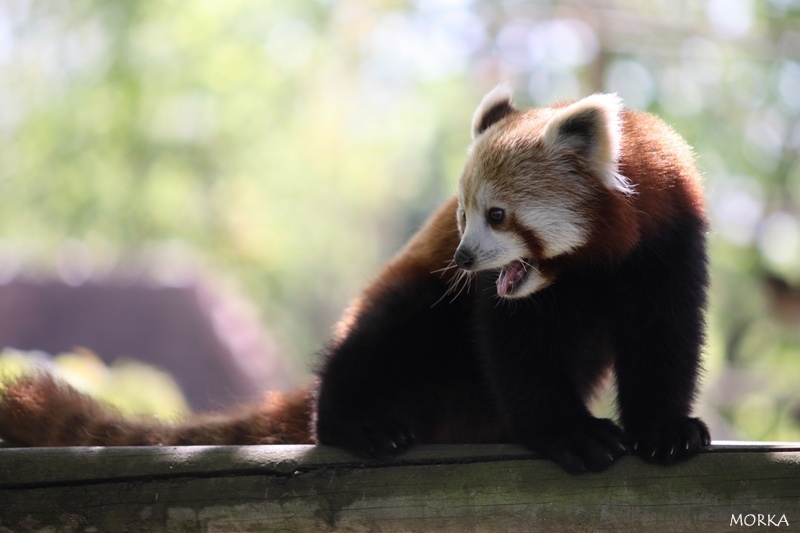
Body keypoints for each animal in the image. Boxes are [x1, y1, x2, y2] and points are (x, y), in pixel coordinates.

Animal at [0, 88, 708, 474]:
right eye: (462, 214)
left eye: (498, 214)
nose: (464, 257)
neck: (586, 262)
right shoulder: (505, 299)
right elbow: (520, 352)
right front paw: (573, 435)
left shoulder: (668, 243)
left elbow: (665, 338)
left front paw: (665, 430)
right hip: (415, 310)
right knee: (380, 338)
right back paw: (357, 424)